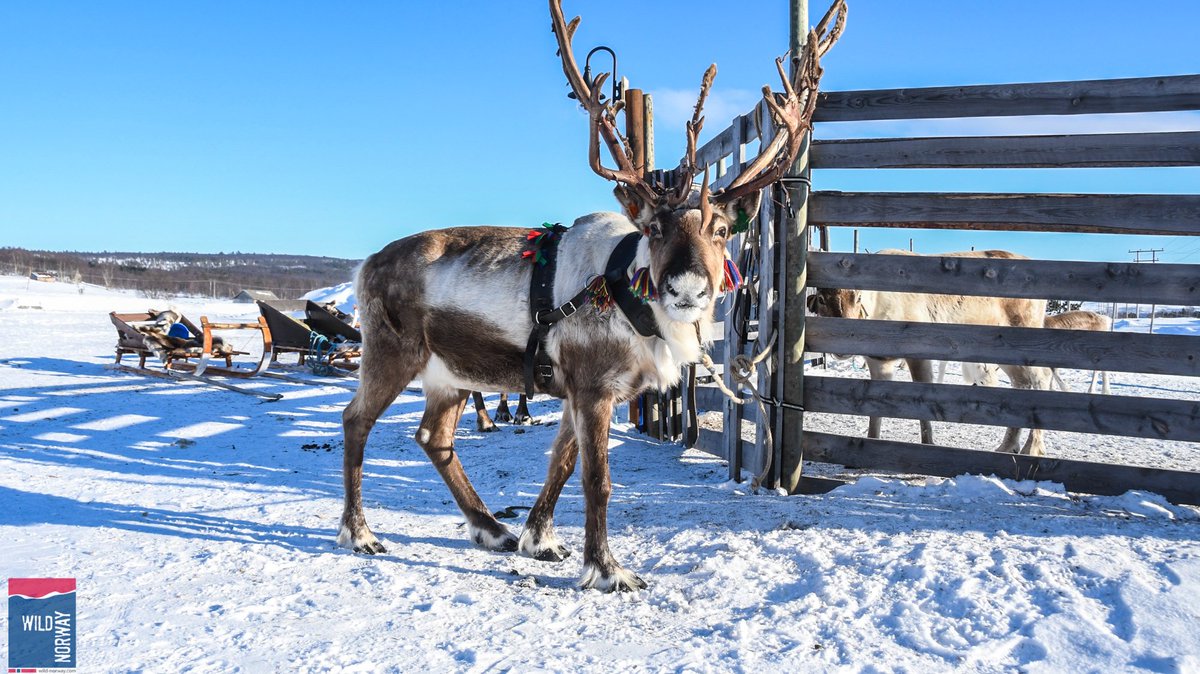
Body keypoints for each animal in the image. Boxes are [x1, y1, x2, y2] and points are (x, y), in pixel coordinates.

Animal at [337, 0, 847, 591]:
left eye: (721, 230)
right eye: (654, 228)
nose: (687, 288)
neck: (629, 294)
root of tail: (364, 265)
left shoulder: (579, 392)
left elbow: (560, 464)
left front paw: (538, 540)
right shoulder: (593, 388)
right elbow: (595, 480)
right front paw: (607, 569)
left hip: (452, 375)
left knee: (433, 438)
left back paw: (491, 529)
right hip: (392, 352)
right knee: (356, 420)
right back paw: (359, 533)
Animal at [807, 249, 1053, 455]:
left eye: (857, 298)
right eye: (822, 299)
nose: (841, 343)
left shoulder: (919, 353)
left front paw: (929, 443)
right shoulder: (879, 361)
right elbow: (874, 407)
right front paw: (870, 442)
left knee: (1042, 377)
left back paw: (1033, 448)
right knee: (1021, 383)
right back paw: (1008, 446)